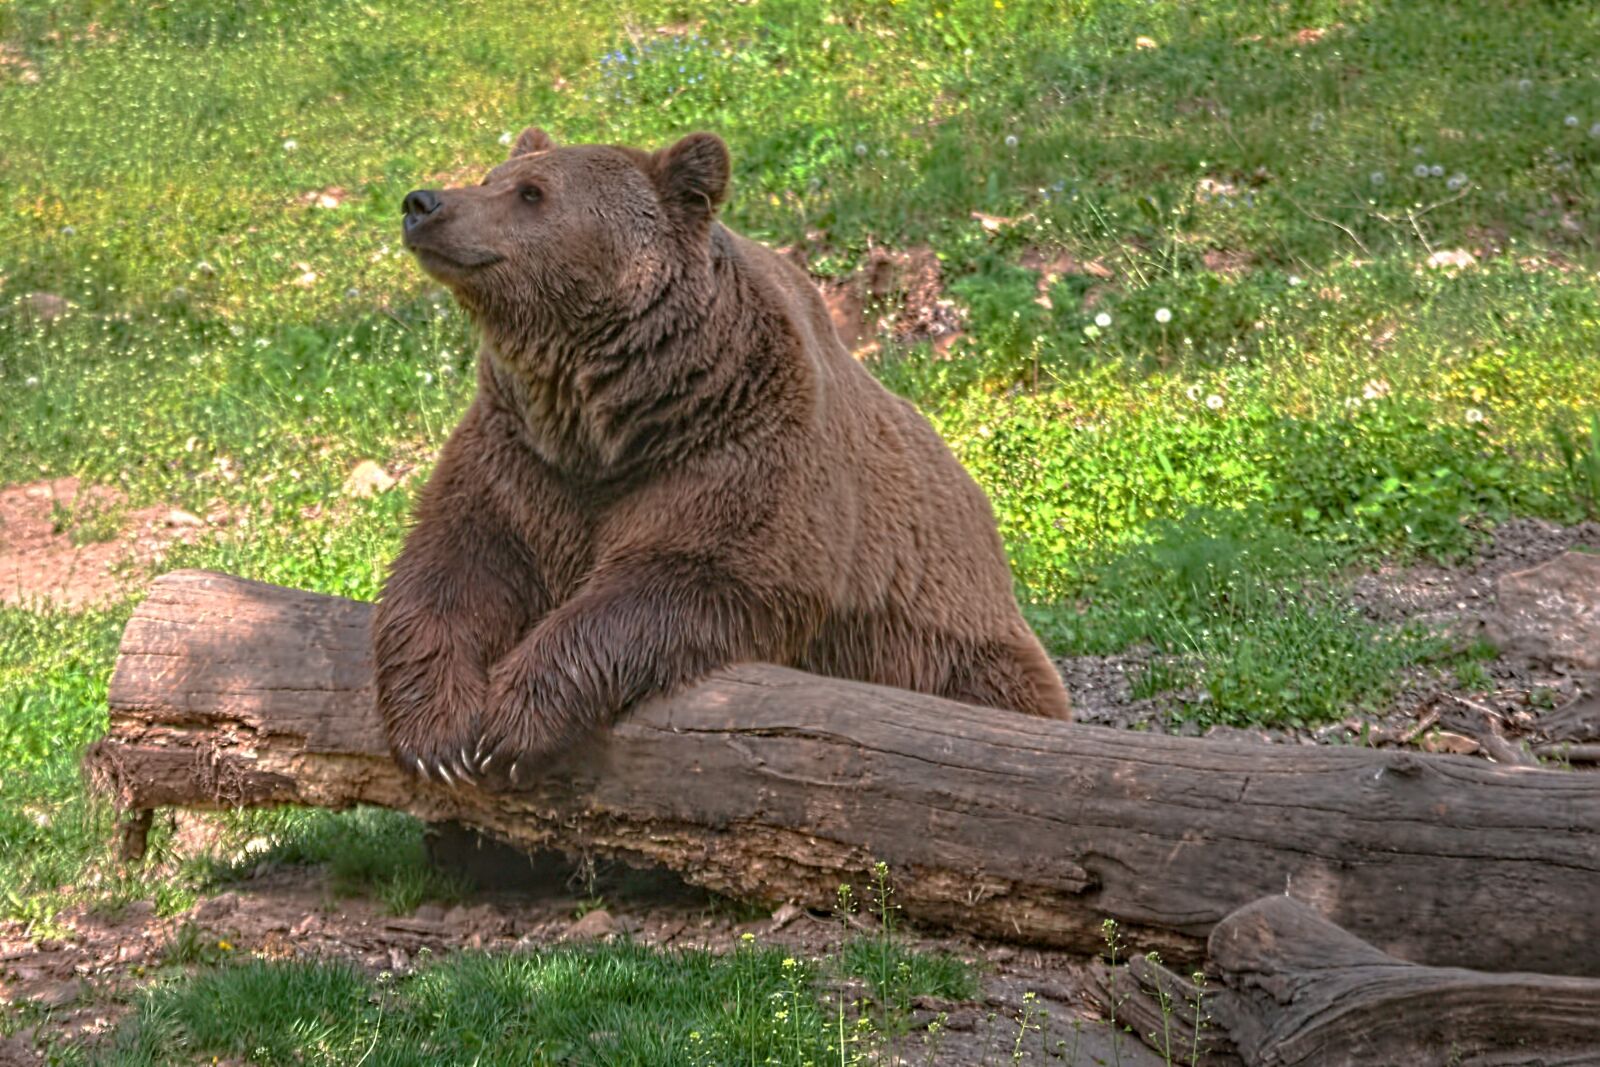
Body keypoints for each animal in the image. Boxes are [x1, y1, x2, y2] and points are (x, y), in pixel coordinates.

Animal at [373, 127, 1070, 787]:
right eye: (492, 177)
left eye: (531, 193)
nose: (423, 203)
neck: (612, 413)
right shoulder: (523, 455)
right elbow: (454, 563)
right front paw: (438, 734)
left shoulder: (737, 447)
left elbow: (686, 575)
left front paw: (514, 720)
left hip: (953, 650)